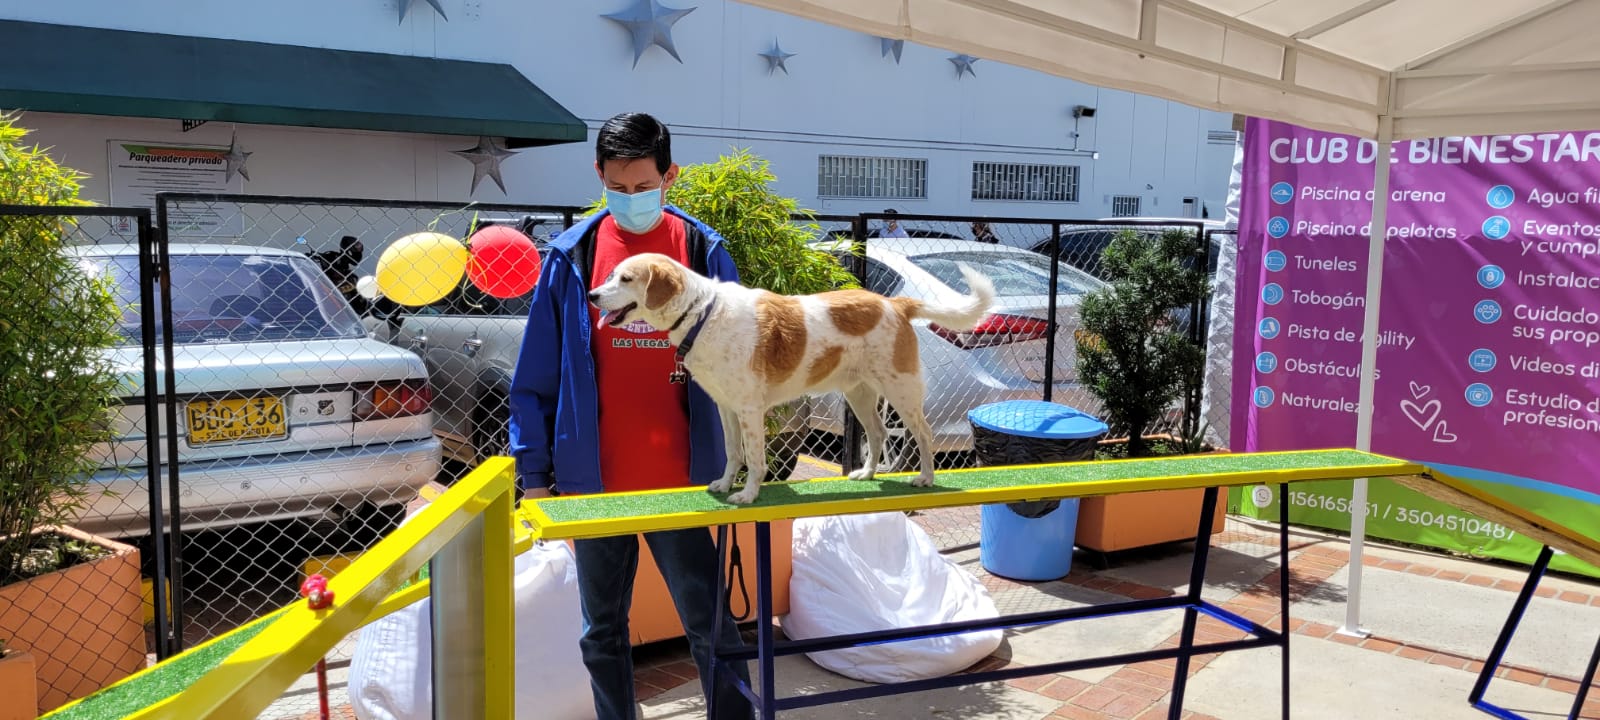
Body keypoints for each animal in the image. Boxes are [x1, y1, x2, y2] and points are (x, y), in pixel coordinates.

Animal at [588, 252, 996, 504]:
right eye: (610, 276)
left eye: (626, 278)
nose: (591, 295)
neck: (701, 313)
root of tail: (895, 304)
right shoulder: (726, 408)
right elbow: (733, 453)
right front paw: (724, 483)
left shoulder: (750, 410)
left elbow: (754, 458)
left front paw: (748, 495)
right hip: (860, 394)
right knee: (878, 433)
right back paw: (866, 474)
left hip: (901, 391)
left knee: (924, 434)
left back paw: (924, 478)